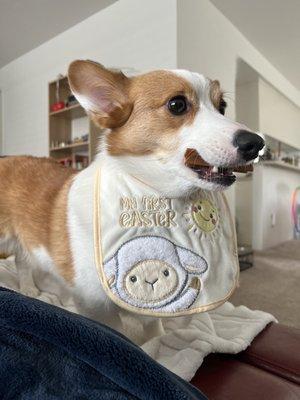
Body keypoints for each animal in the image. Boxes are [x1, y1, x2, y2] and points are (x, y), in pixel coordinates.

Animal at [0, 60, 264, 324]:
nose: (257, 144)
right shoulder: (96, 306)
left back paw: (29, 289)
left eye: (222, 106)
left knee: (22, 261)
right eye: (177, 104)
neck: (153, 190)